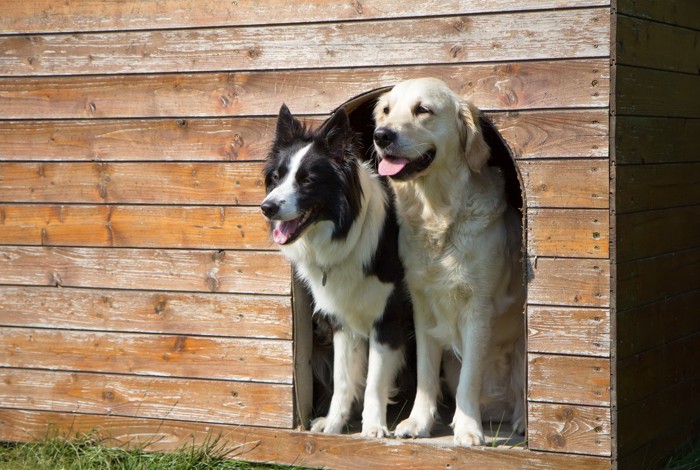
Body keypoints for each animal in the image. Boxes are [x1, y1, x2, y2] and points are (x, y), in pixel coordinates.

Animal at [262, 104, 416, 438]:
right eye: (277, 177)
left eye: (307, 180)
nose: (266, 208)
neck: (346, 233)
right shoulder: (343, 321)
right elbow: (344, 380)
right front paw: (334, 425)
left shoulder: (388, 319)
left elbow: (374, 381)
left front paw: (373, 428)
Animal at [372, 77, 524, 444]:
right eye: (386, 110)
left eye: (422, 110)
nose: (381, 135)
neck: (437, 216)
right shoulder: (422, 306)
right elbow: (426, 374)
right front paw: (418, 422)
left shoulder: (478, 308)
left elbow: (471, 375)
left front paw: (467, 428)